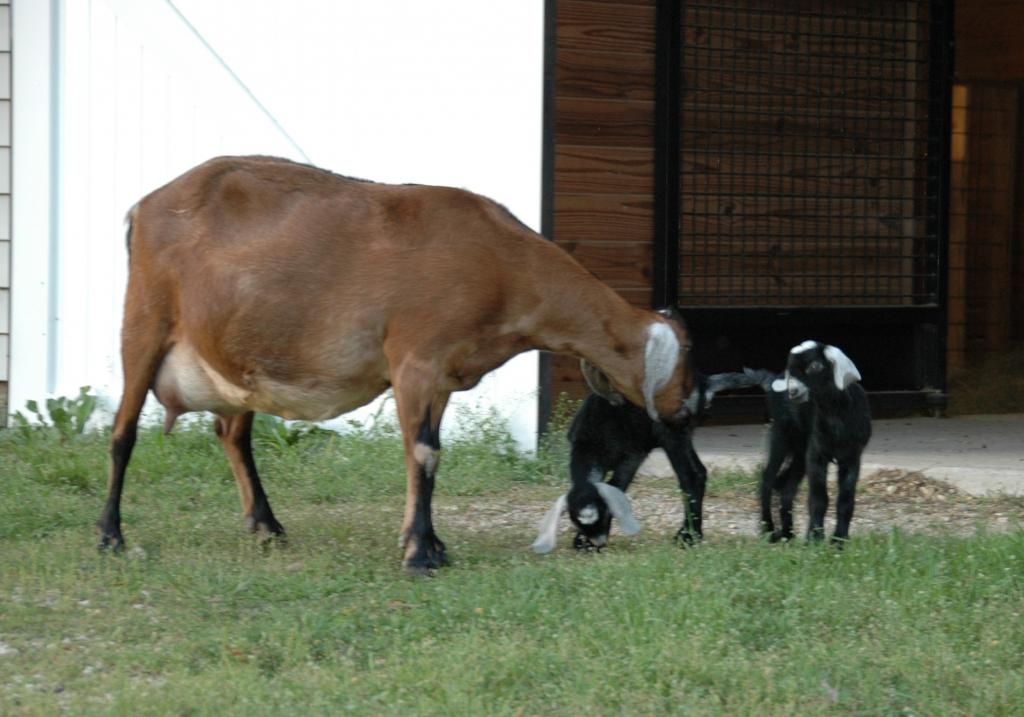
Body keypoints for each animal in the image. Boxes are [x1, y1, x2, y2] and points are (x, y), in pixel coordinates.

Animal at [97, 155, 700, 573]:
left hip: (236, 360)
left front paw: (431, 542)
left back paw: (267, 526)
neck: (503, 264)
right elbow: (424, 453)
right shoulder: (414, 359)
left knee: (231, 432)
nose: (687, 410)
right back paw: (110, 536)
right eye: (688, 359)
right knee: (123, 431)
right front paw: (419, 554)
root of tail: (143, 208)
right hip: (145, 320)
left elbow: (430, 452)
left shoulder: (444, 375)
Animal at [532, 365, 763, 554]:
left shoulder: (631, 456)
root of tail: (702, 381)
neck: (592, 442)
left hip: (671, 432)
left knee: (692, 475)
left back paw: (688, 536)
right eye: (578, 522)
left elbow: (617, 485)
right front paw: (581, 540)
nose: (598, 542)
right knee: (698, 472)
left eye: (603, 515)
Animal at [753, 341, 872, 544]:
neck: (836, 416)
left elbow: (846, 500)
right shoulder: (817, 455)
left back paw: (787, 533)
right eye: (791, 371)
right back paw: (769, 529)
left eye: (815, 366)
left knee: (785, 487)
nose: (792, 391)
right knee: (767, 479)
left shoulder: (851, 457)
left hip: (800, 452)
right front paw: (815, 538)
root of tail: (772, 380)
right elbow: (818, 499)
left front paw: (839, 540)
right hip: (781, 435)